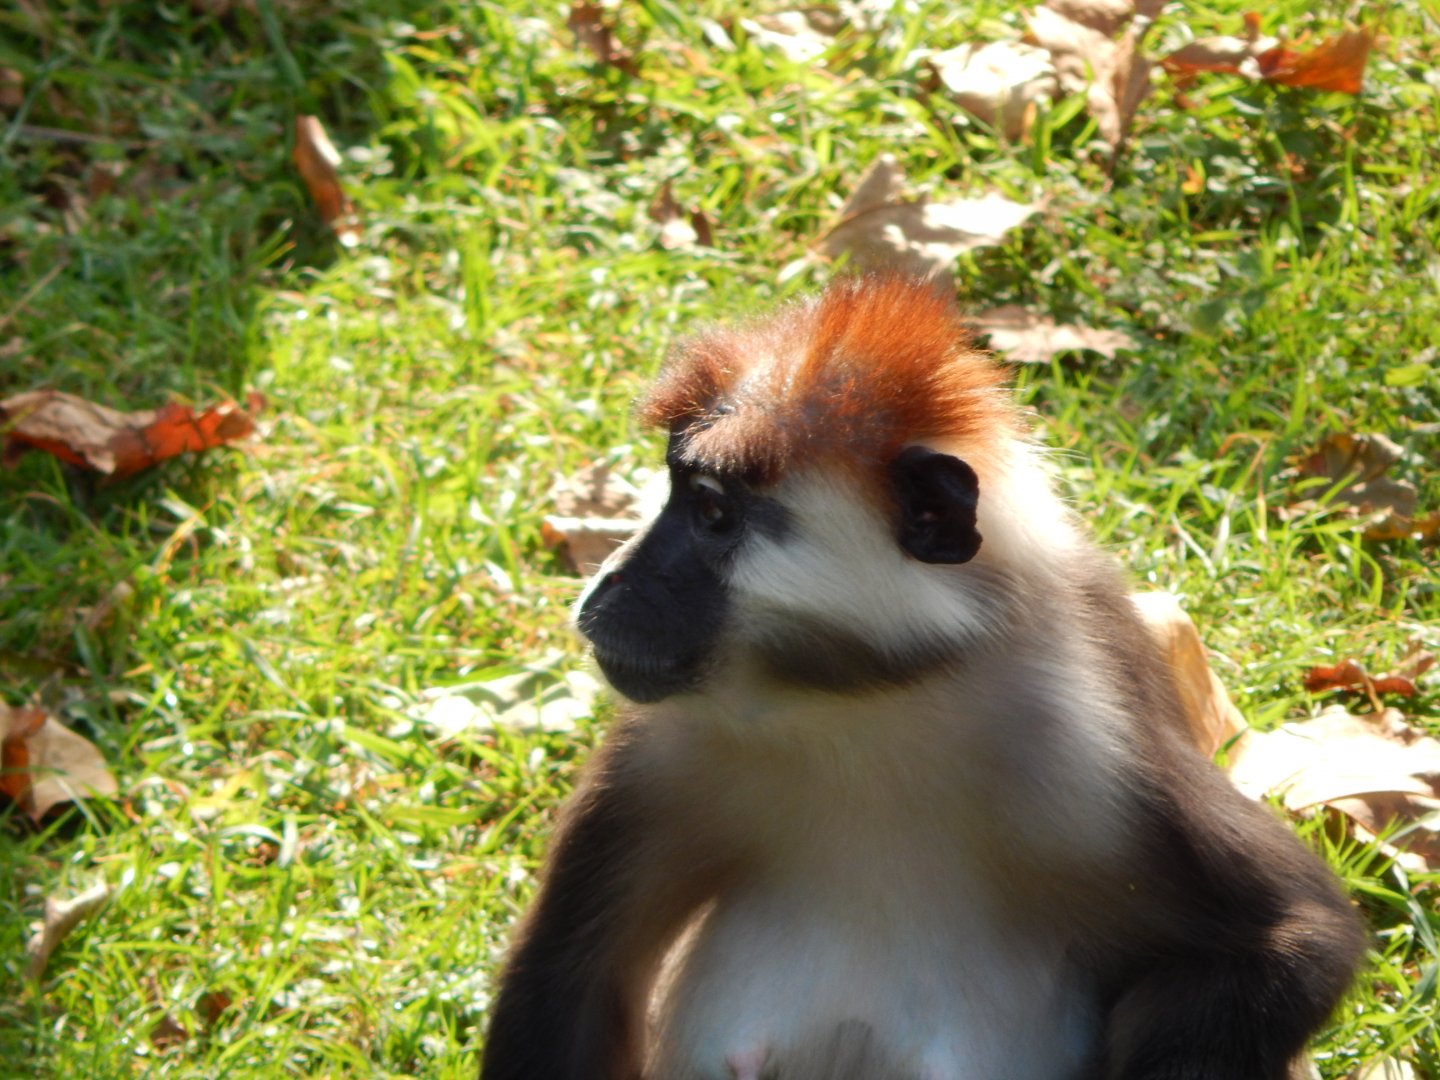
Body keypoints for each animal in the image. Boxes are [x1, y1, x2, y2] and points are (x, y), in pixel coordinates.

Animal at [481, 275, 1366, 1080]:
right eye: (677, 493)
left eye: (711, 513)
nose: (610, 588)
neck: (865, 703)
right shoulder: (665, 749)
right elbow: (571, 981)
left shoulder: (1096, 746)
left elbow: (1299, 932)